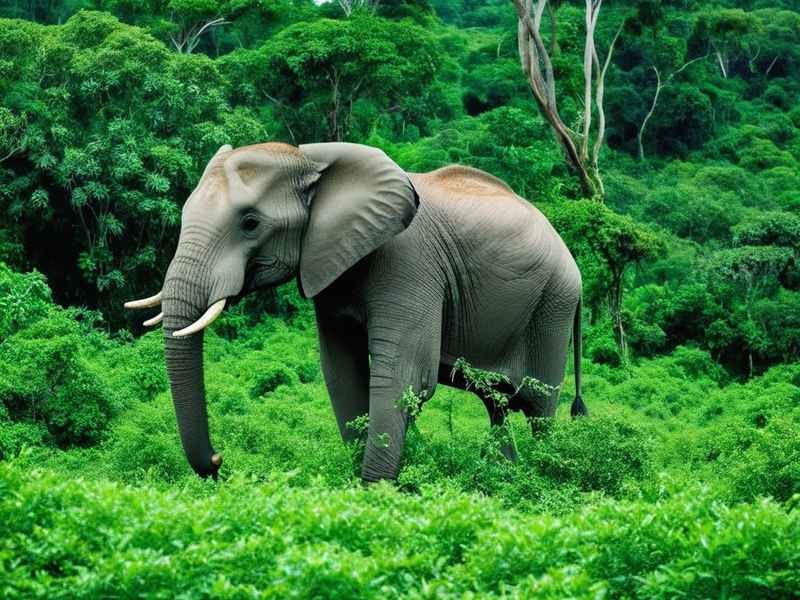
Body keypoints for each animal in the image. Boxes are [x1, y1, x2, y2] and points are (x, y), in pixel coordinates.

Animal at [125, 141, 585, 482]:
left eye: (250, 223)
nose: (219, 461)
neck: (309, 160)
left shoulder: (410, 264)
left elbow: (404, 378)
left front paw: (378, 492)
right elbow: (342, 374)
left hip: (554, 304)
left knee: (540, 407)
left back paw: (547, 474)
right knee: (497, 405)